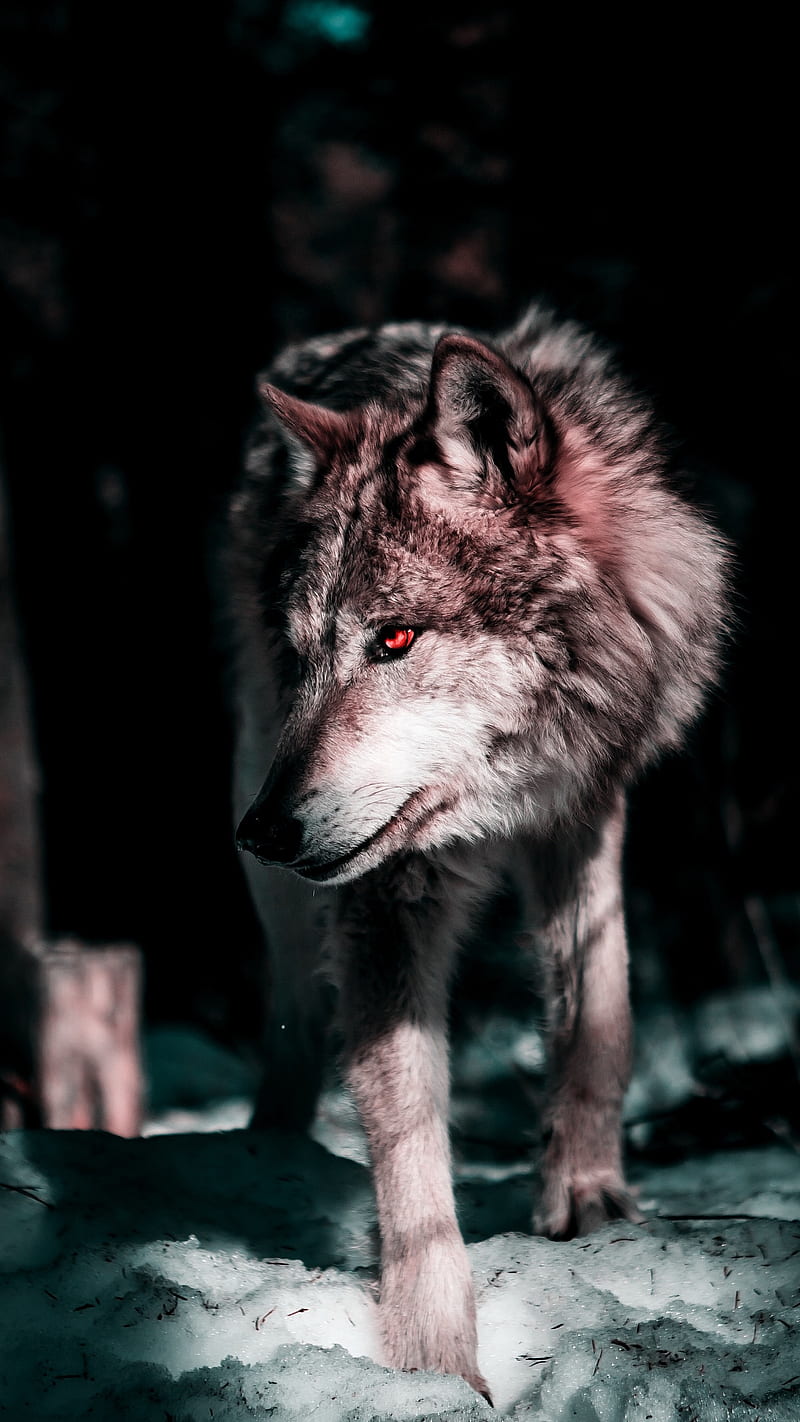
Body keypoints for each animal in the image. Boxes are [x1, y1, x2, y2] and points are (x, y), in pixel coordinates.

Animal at [227, 304, 729, 1400]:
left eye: (395, 639)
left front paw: (587, 1198)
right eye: (304, 654)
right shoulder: (385, 893)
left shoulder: (585, 809)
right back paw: (261, 1149)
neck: (499, 794)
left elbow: (600, 1016)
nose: (263, 830)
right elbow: (409, 1140)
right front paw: (433, 1362)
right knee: (293, 1017)